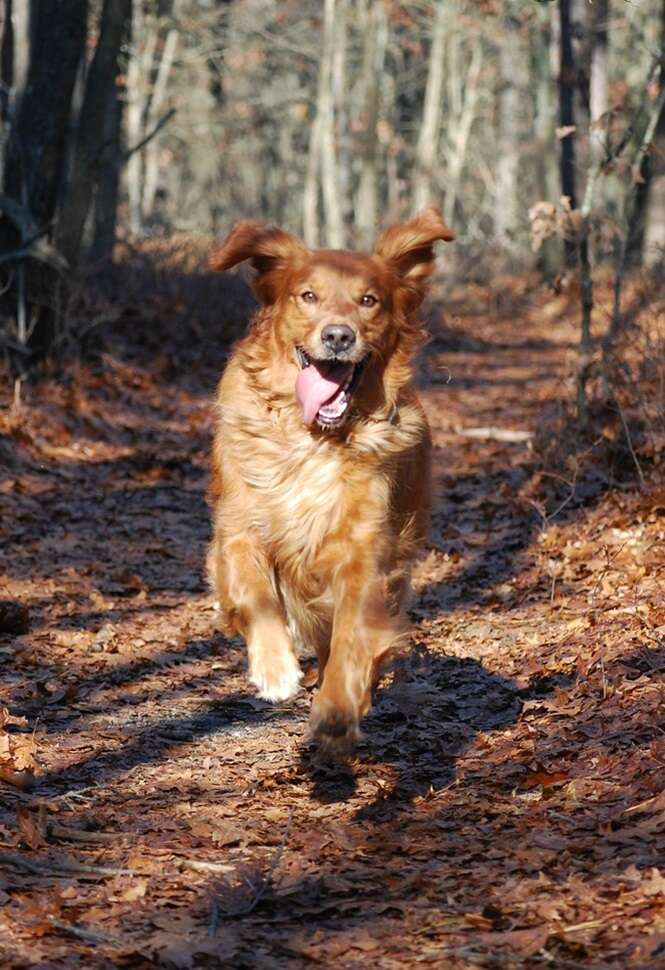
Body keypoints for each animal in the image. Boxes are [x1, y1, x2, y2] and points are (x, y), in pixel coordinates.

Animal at [208, 206, 454, 748]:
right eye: (308, 296)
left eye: (369, 300)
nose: (338, 336)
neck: (314, 438)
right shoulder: (238, 530)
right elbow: (257, 596)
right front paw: (275, 668)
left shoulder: (364, 553)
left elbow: (352, 638)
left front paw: (338, 708)